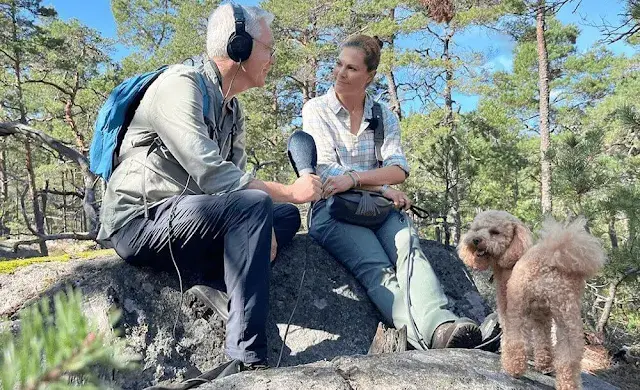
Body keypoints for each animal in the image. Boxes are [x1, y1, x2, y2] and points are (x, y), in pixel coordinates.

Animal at [460, 212, 604, 388]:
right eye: (476, 229)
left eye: (495, 232)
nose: (475, 240)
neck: (511, 258)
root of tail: (551, 260)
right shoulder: (541, 317)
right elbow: (543, 341)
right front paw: (544, 365)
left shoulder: (508, 307)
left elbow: (513, 337)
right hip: (567, 313)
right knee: (570, 354)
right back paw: (568, 384)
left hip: (519, 306)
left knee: (517, 339)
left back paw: (513, 368)